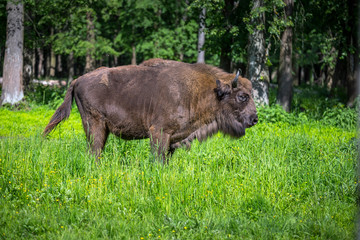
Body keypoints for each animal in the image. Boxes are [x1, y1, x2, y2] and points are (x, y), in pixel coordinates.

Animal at [43, 59, 258, 163]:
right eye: (242, 96)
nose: (254, 119)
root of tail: (77, 80)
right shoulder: (159, 133)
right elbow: (158, 158)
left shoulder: (173, 139)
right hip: (95, 125)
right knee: (94, 151)